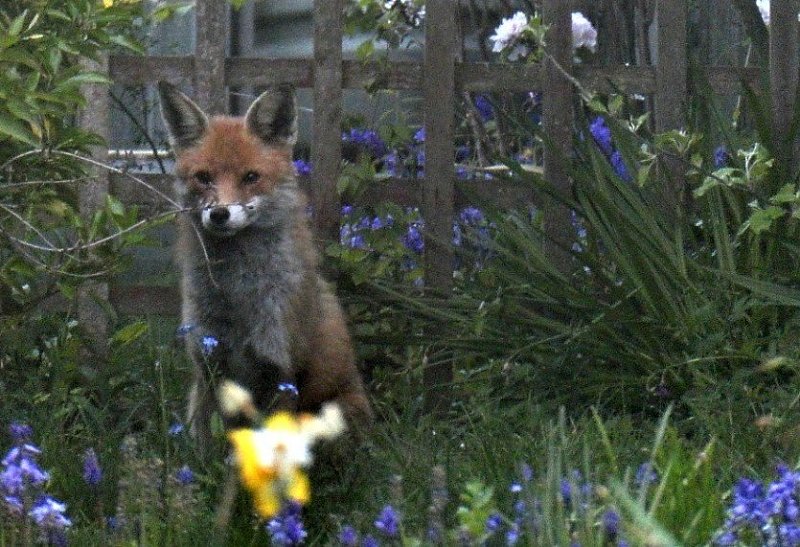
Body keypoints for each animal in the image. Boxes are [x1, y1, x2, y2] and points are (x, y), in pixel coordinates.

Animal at [158, 82, 374, 446]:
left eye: (251, 176)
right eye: (203, 177)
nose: (220, 214)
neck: (236, 294)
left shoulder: (280, 366)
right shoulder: (208, 364)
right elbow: (206, 443)